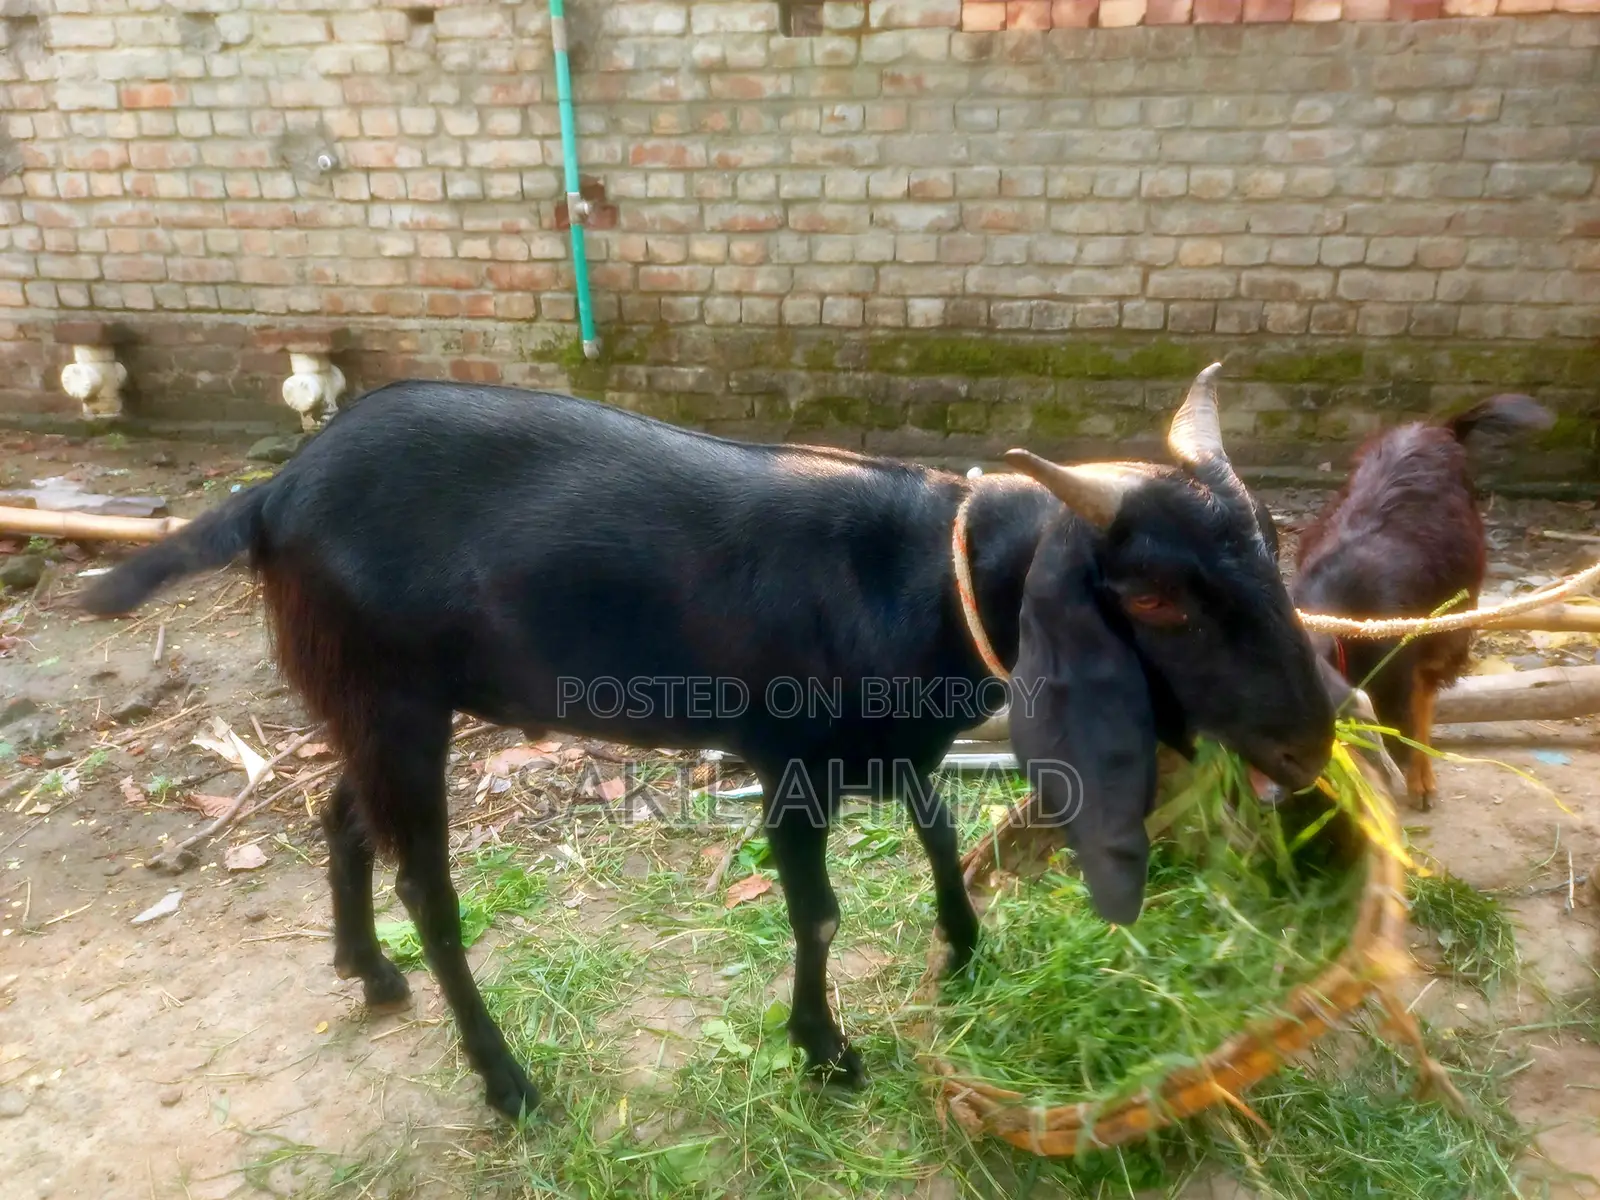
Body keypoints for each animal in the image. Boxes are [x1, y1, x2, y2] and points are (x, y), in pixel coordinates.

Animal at [80, 365, 1333, 1122]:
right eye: (1156, 599)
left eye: (1271, 544)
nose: (1310, 742)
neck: (921, 577)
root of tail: (273, 493)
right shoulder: (787, 764)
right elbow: (818, 912)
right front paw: (825, 1051)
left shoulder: (886, 746)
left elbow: (934, 834)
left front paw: (964, 946)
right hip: (391, 701)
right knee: (428, 889)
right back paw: (504, 1078)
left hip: (370, 700)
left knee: (337, 813)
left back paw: (369, 973)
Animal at [1292, 394, 1552, 808]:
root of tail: (1439, 429)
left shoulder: (1398, 666)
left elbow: (1406, 722)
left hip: (1452, 616)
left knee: (1428, 690)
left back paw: (1424, 782)